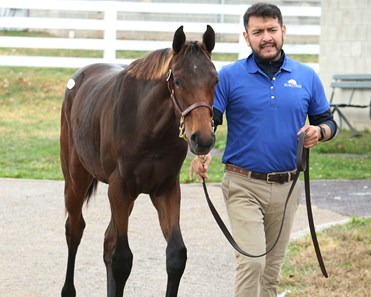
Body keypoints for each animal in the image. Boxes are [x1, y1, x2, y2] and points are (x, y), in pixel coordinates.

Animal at [60, 25, 219, 296]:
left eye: (215, 80)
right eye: (178, 81)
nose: (203, 140)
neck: (148, 127)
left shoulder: (165, 190)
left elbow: (176, 255)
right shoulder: (119, 189)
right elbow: (122, 259)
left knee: (107, 240)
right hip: (76, 178)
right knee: (74, 229)